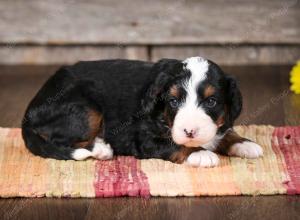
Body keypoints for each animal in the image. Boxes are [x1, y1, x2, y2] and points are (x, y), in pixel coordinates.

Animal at [22, 56, 262, 167]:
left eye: (211, 102)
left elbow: (224, 131)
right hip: (86, 110)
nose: (190, 131)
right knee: (59, 140)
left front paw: (244, 143)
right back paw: (100, 149)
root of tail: (29, 111)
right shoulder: (142, 138)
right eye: (174, 101)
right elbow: (175, 145)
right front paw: (200, 153)